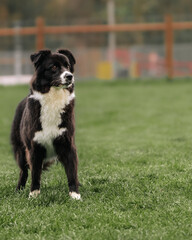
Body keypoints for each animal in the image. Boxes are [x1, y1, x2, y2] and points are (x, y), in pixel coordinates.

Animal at [10, 48, 80, 199]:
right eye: (53, 67)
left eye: (67, 66)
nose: (69, 76)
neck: (53, 97)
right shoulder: (34, 146)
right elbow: (35, 174)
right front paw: (34, 195)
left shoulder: (67, 143)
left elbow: (72, 172)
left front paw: (75, 195)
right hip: (20, 151)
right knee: (23, 171)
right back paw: (19, 190)